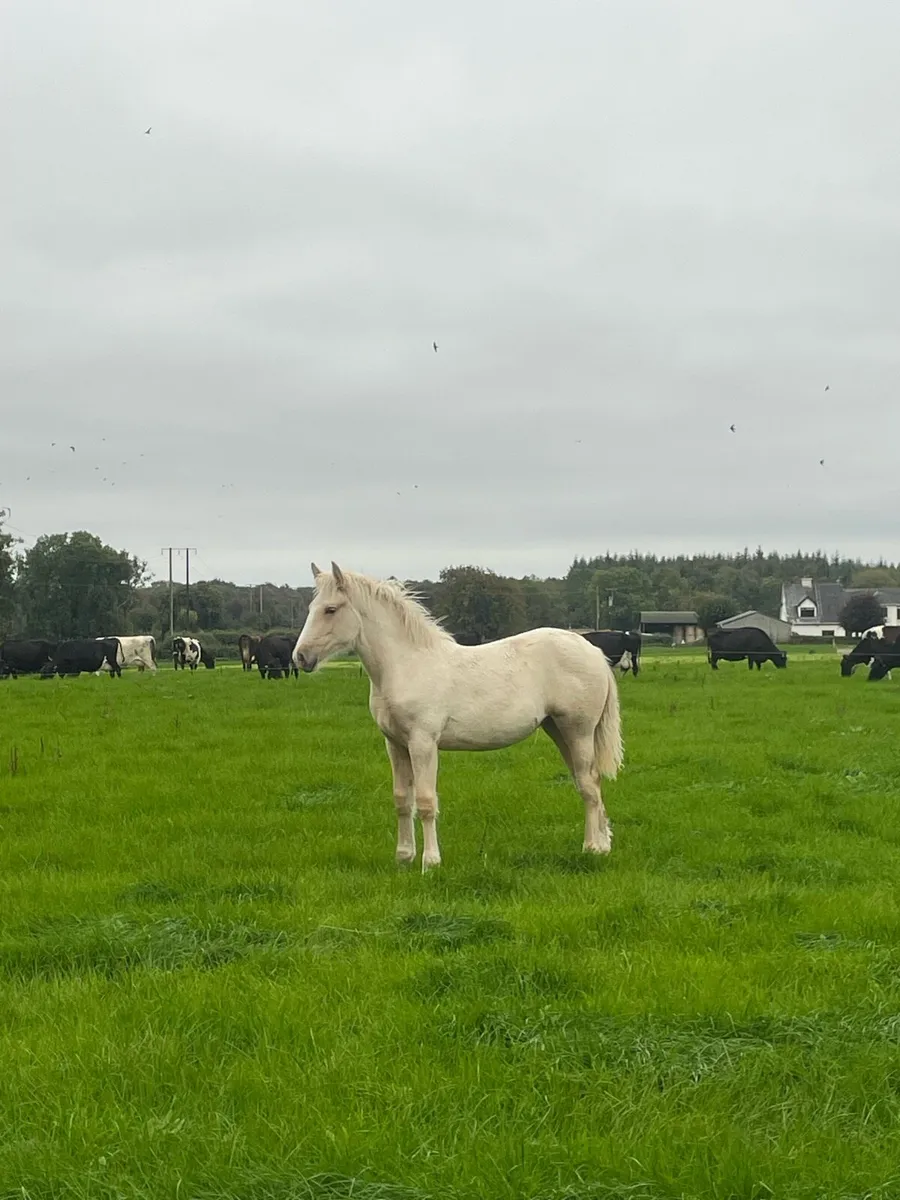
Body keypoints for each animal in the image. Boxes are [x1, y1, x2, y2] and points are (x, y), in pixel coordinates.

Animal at [292, 562, 624, 872]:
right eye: (311, 608)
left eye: (331, 609)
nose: (301, 657)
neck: (407, 665)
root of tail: (592, 650)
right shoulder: (395, 744)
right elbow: (402, 800)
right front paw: (403, 858)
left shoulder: (423, 743)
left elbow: (426, 801)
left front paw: (430, 863)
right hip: (558, 730)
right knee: (588, 782)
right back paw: (604, 844)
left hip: (578, 731)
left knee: (589, 785)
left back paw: (592, 848)